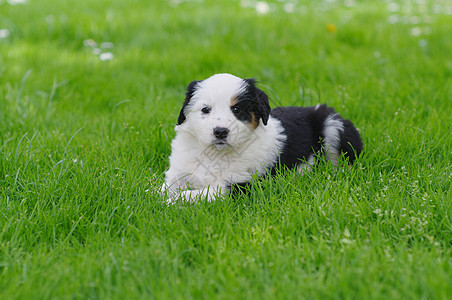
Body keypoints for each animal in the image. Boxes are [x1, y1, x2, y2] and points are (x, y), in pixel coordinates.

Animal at [162, 74, 364, 203]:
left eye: (237, 109)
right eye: (205, 109)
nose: (220, 132)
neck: (216, 154)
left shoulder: (241, 184)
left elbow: (197, 194)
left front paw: (172, 202)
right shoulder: (178, 172)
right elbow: (164, 188)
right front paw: (158, 197)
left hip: (333, 125)